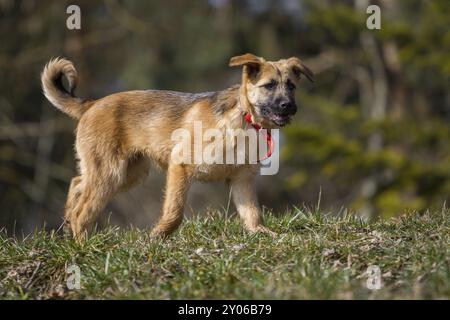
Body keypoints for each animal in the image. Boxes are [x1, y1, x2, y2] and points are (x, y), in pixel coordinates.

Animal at [40, 53, 312, 239]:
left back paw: (68, 225)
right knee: (82, 211)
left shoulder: (242, 179)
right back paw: (82, 245)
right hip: (111, 172)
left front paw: (262, 233)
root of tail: (91, 103)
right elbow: (175, 211)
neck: (243, 118)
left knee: (77, 184)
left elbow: (252, 212)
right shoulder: (180, 167)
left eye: (291, 86)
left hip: (127, 173)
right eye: (269, 85)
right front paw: (158, 235)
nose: (289, 106)